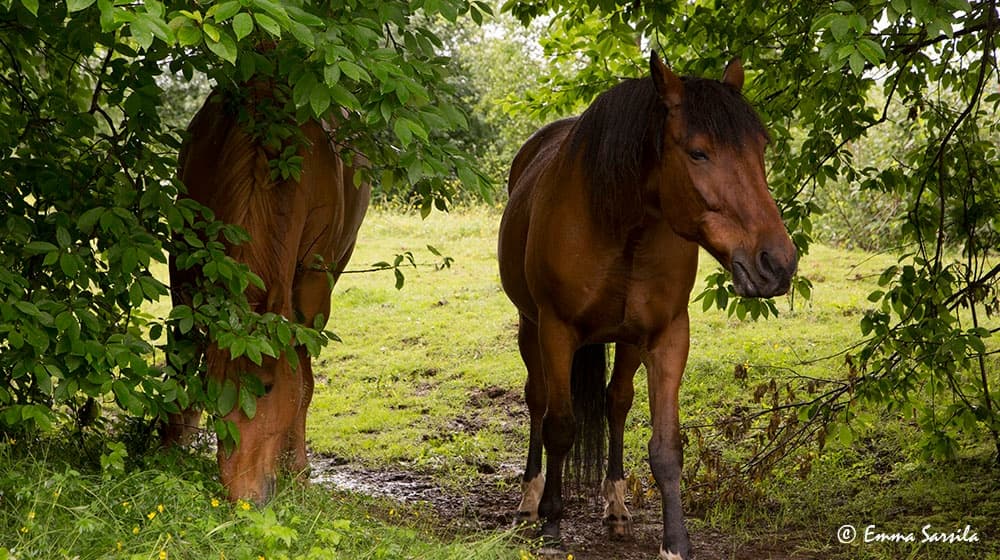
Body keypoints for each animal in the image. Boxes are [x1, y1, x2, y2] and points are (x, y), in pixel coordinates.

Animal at [164, 84, 370, 503]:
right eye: (210, 387)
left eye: (270, 387)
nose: (244, 496)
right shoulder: (185, 256)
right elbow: (183, 348)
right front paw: (170, 441)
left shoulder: (313, 281)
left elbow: (303, 376)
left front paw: (297, 468)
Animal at [497, 52, 797, 559]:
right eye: (697, 152)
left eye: (762, 147)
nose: (777, 262)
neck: (623, 224)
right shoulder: (556, 329)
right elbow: (561, 425)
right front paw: (553, 524)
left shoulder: (667, 336)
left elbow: (666, 446)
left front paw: (674, 542)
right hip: (528, 325)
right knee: (537, 401)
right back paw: (530, 499)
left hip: (627, 341)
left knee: (616, 403)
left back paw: (616, 507)